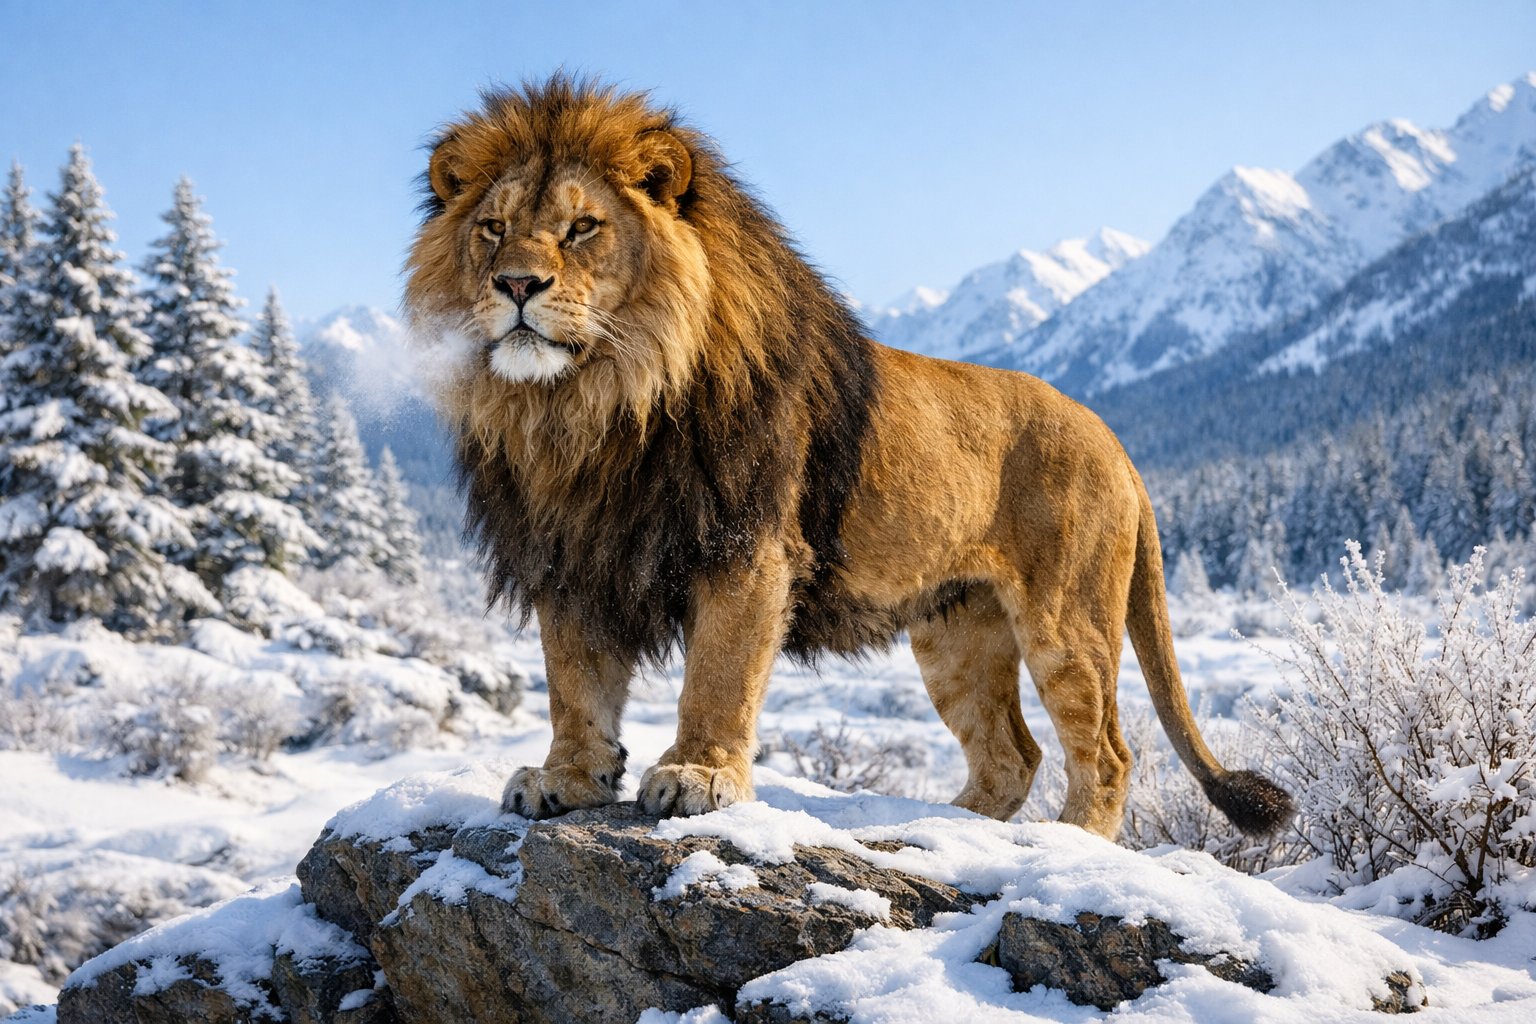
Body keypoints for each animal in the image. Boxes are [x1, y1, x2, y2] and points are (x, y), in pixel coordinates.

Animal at [404, 76, 1294, 841]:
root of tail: (1113, 438)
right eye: (492, 228)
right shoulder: (570, 556)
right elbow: (575, 684)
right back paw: (949, 828)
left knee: (1105, 753)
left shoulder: (746, 546)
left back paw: (1069, 844)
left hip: (1066, 620)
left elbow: (718, 675)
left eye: (583, 227)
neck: (591, 407)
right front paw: (568, 779)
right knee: (1013, 756)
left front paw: (697, 776)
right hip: (957, 636)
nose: (517, 284)